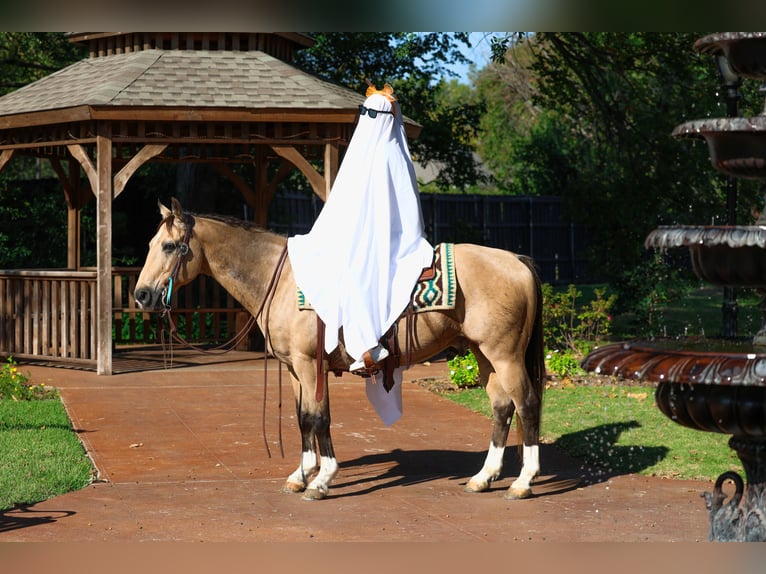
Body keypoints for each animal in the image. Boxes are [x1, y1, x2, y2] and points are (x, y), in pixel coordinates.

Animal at [134, 198, 545, 501]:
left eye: (169, 246)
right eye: (151, 244)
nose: (141, 296)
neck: (283, 281)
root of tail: (516, 260)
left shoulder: (308, 364)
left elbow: (320, 418)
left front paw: (321, 480)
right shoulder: (294, 369)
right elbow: (303, 418)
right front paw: (300, 475)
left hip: (505, 354)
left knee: (526, 403)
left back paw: (522, 482)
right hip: (483, 354)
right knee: (501, 406)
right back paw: (483, 476)